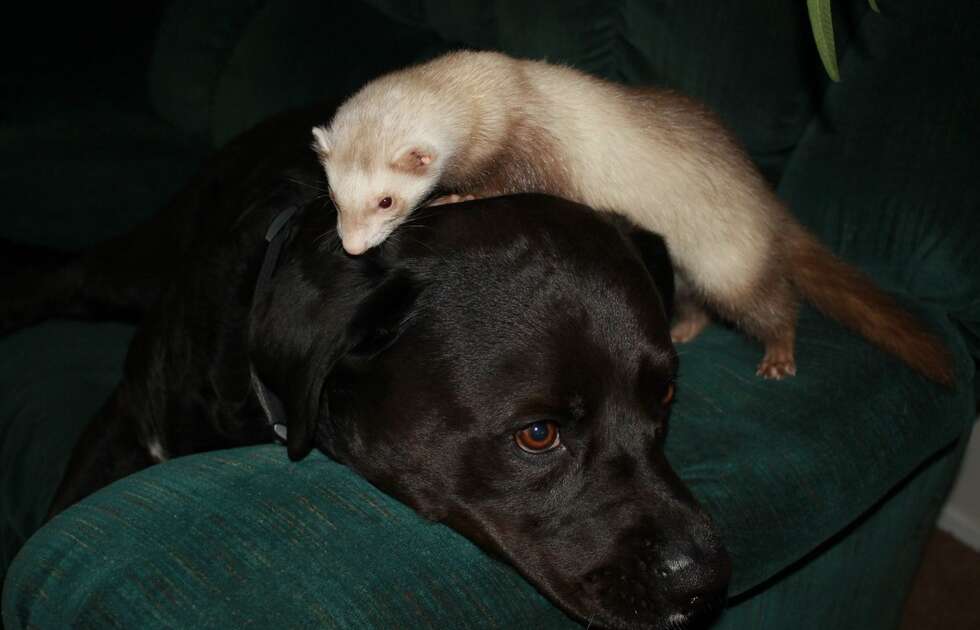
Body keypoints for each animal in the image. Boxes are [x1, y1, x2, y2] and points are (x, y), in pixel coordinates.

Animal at [5, 106, 728, 628]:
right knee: (65, 276)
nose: (706, 582)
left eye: (664, 398)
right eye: (538, 435)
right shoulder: (127, 416)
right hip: (133, 268)